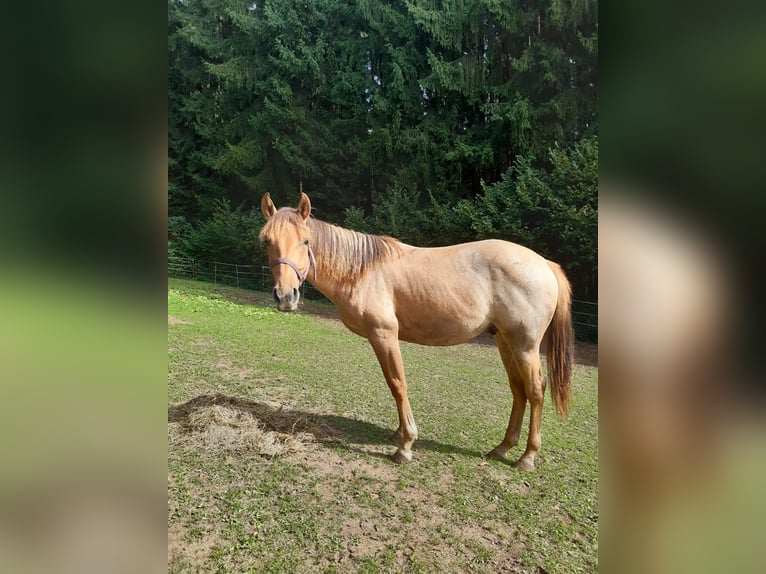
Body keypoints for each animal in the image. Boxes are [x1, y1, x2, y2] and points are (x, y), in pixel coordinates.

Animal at [259, 192, 574, 471]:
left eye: (305, 241)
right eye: (267, 241)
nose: (285, 297)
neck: (363, 271)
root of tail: (544, 264)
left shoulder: (383, 335)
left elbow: (398, 384)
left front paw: (406, 445)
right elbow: (394, 385)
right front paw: (399, 434)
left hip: (525, 345)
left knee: (535, 389)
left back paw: (527, 458)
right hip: (505, 342)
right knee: (518, 389)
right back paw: (502, 447)